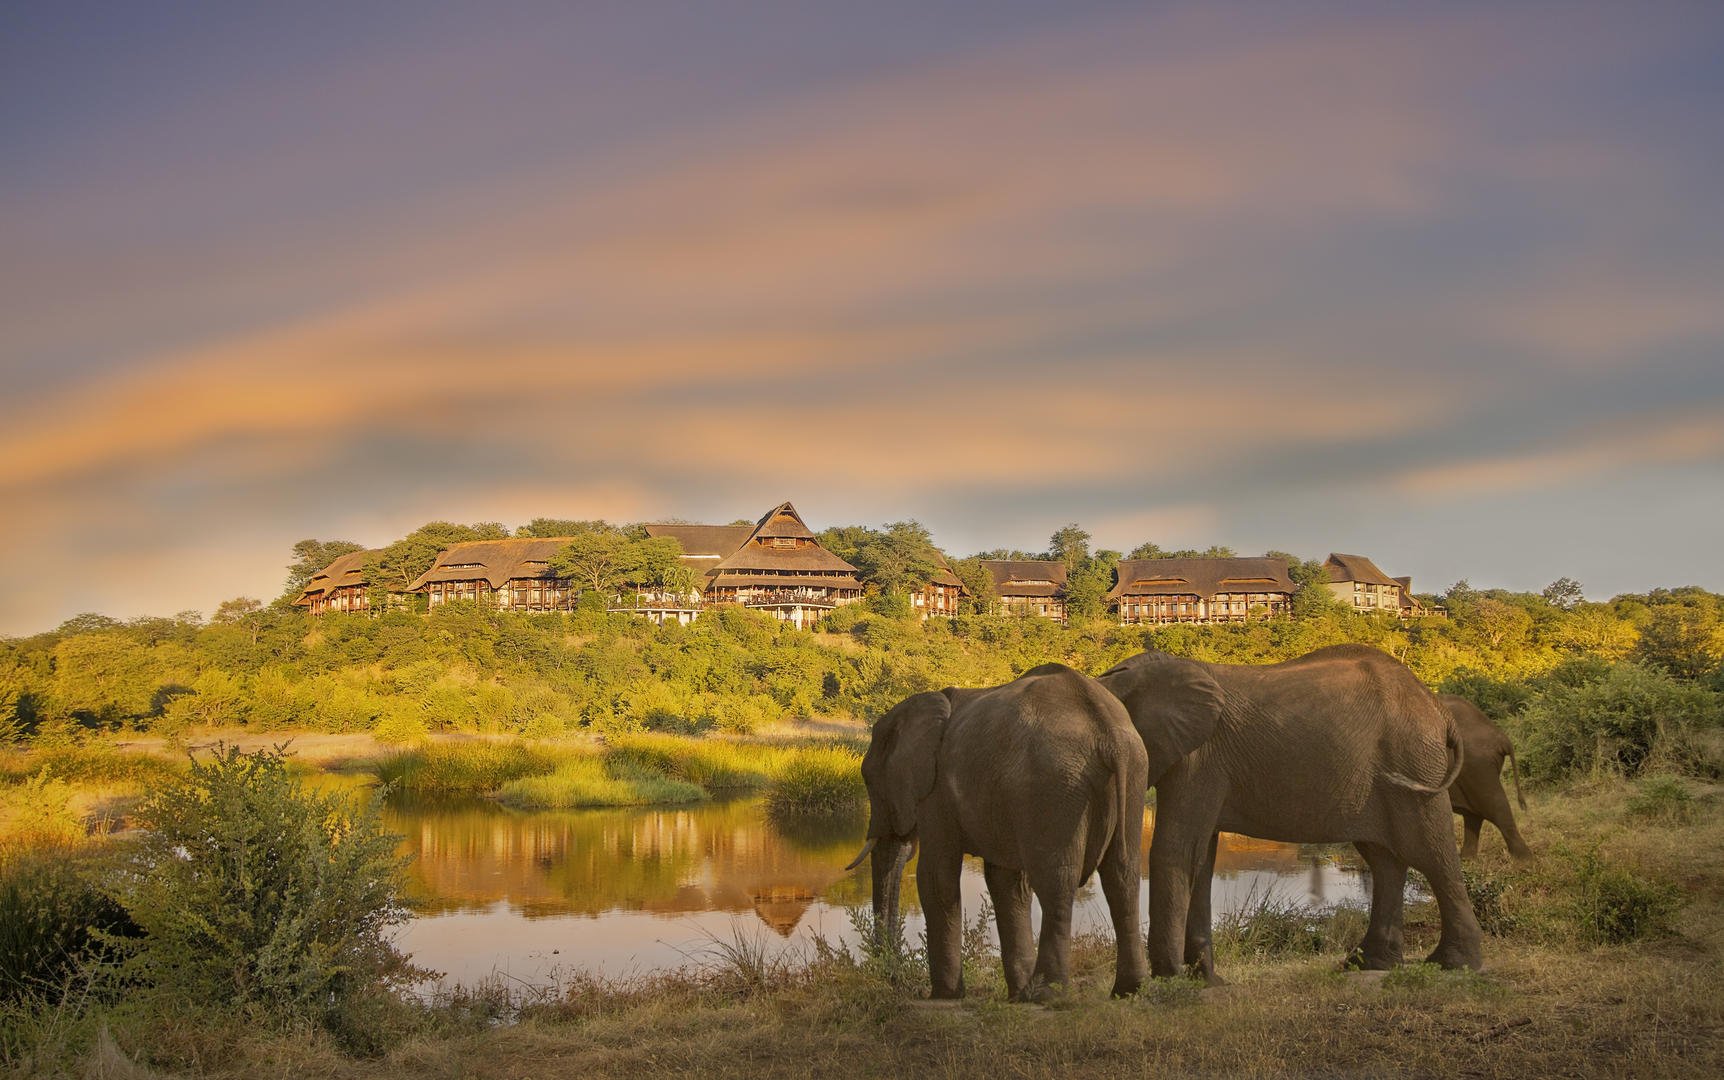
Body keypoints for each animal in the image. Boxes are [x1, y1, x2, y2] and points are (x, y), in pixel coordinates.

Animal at [844, 659, 1144, 993]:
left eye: (869, 779)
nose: (892, 974)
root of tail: (1108, 734)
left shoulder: (936, 793)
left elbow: (936, 876)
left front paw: (945, 995)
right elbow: (1006, 881)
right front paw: (1018, 994)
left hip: (1056, 782)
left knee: (1056, 881)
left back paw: (1047, 994)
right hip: (1132, 773)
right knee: (1123, 876)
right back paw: (1127, 990)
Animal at [1103, 638, 1482, 973]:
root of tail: (1437, 707)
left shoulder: (1199, 760)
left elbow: (1174, 850)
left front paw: (1171, 978)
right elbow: (1201, 855)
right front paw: (1207, 980)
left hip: (1414, 762)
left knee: (1431, 853)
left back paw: (1456, 963)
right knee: (1385, 861)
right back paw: (1369, 964)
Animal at [1441, 690, 1537, 859]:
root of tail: (1502, 737)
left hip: (1478, 766)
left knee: (1496, 807)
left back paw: (1525, 862)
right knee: (1473, 814)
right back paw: (1466, 859)